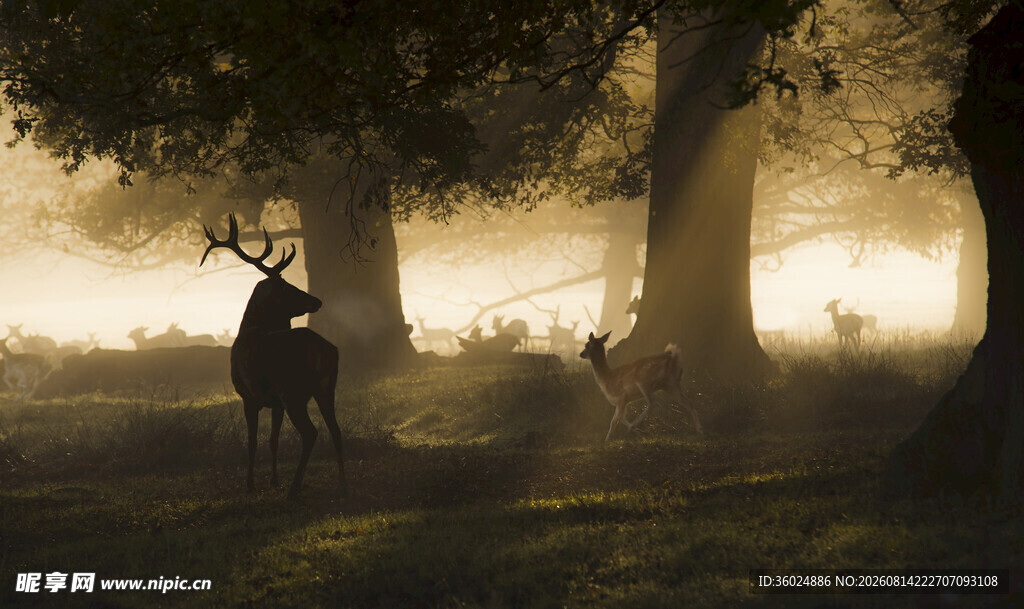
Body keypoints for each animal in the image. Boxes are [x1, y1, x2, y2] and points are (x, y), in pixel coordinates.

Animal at [202, 213, 343, 500]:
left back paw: (295, 489)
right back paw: (344, 485)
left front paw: (250, 485)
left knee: (311, 433)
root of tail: (324, 349)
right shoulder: (275, 402)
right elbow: (273, 440)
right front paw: (274, 480)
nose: (317, 301)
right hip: (326, 387)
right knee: (336, 430)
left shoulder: (248, 395)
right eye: (289, 288)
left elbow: (253, 441)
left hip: (293, 390)